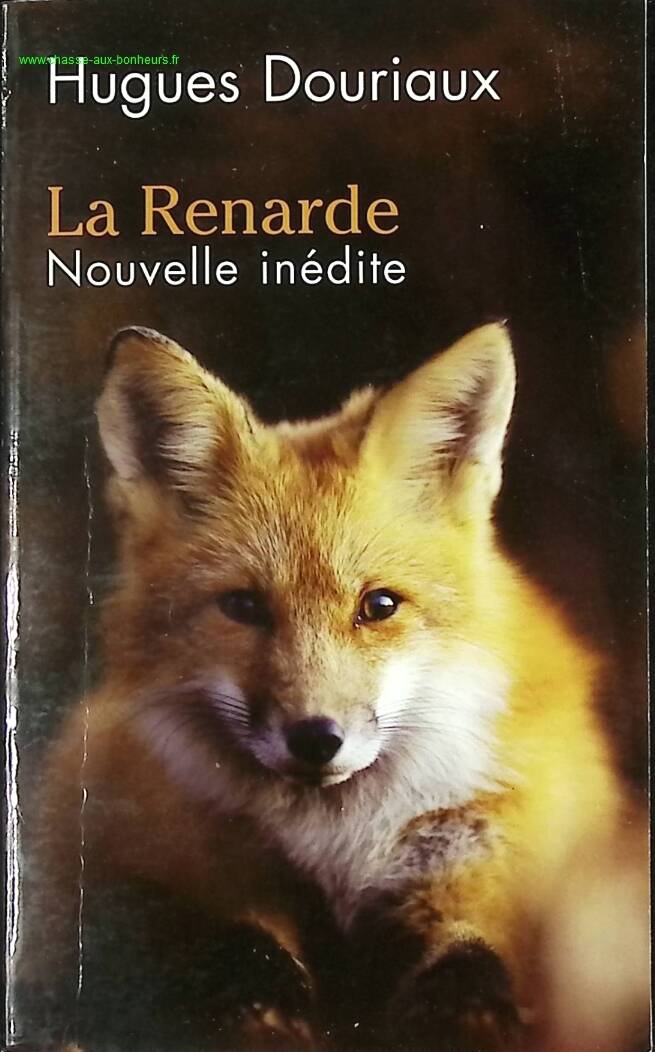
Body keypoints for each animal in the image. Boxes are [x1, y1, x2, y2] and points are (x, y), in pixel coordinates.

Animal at [27, 322, 648, 1052]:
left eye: (378, 606)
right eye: (243, 608)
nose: (315, 739)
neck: (336, 842)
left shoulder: (484, 861)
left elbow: (472, 961)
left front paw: (463, 1014)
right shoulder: (188, 858)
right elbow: (231, 940)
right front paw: (263, 1008)